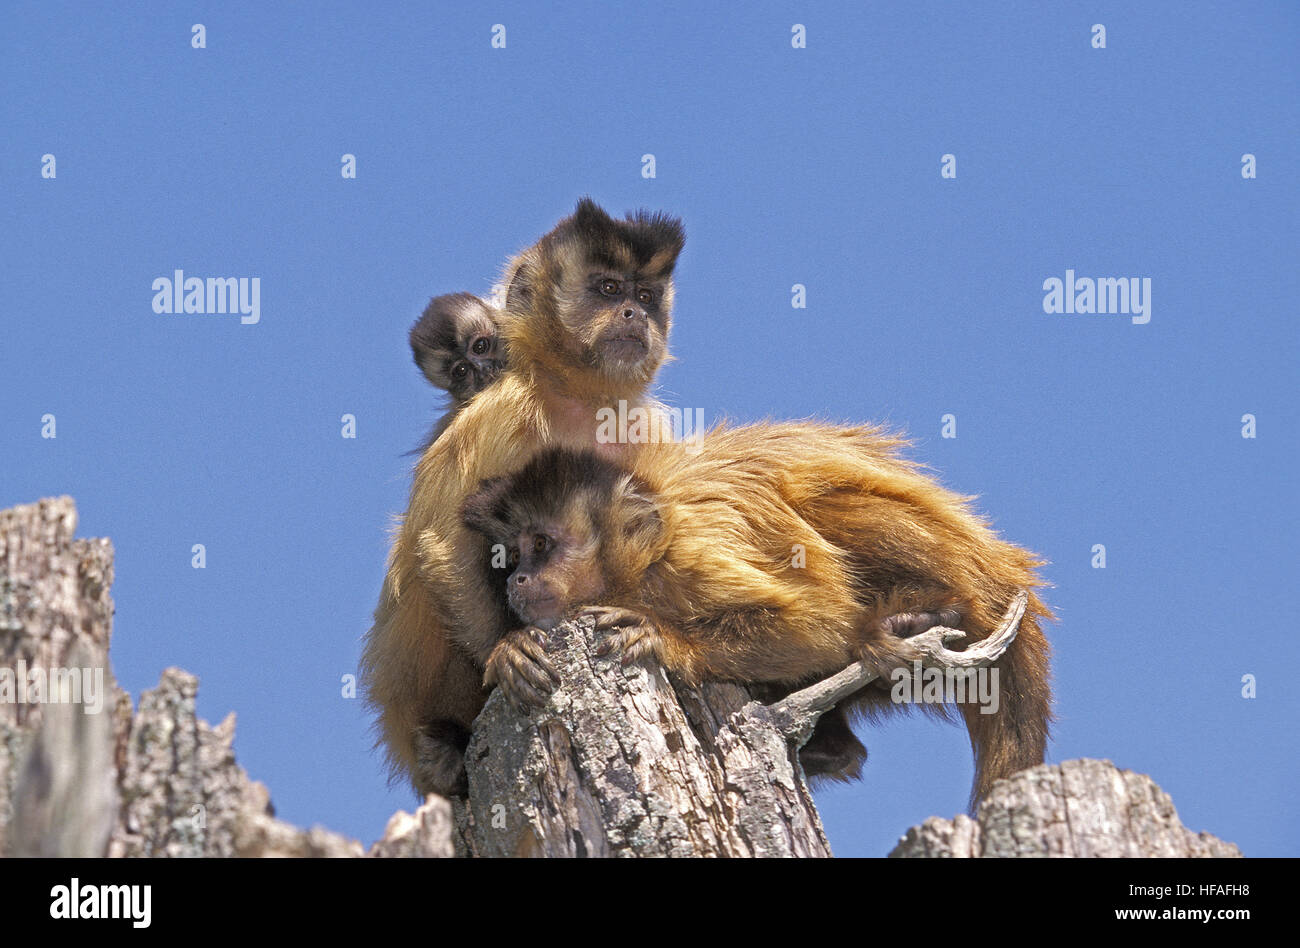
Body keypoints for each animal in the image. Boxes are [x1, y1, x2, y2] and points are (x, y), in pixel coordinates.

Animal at [364, 196, 691, 795]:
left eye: (645, 296)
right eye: (609, 289)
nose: (634, 315)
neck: (578, 401)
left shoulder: (645, 428)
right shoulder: (501, 408)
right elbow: (442, 542)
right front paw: (506, 651)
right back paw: (446, 746)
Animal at [462, 431, 1050, 806]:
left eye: (542, 545)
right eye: (514, 554)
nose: (517, 580)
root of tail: (998, 570)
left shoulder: (690, 554)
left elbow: (820, 623)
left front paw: (665, 639)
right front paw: (512, 651)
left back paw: (925, 613)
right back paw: (833, 748)